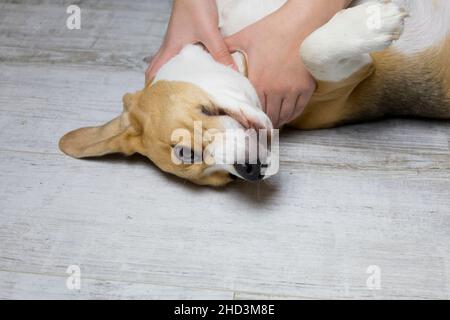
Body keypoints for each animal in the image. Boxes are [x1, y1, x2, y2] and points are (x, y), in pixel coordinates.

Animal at [59, 0, 450, 186]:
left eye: (183, 151)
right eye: (218, 179)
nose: (250, 171)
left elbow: (309, 46)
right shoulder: (348, 81)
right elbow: (311, 50)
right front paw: (373, 23)